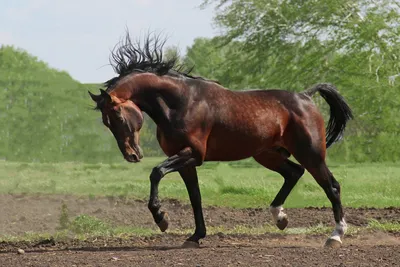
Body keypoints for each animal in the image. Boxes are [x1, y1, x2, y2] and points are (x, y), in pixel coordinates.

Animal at [88, 32, 354, 250]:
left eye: (118, 116)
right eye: (105, 122)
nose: (132, 155)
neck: (181, 102)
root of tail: (306, 97)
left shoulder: (193, 154)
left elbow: (156, 172)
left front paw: (162, 218)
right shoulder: (186, 162)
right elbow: (195, 197)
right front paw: (195, 236)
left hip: (311, 154)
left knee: (332, 186)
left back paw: (335, 236)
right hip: (267, 154)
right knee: (294, 173)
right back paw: (280, 217)